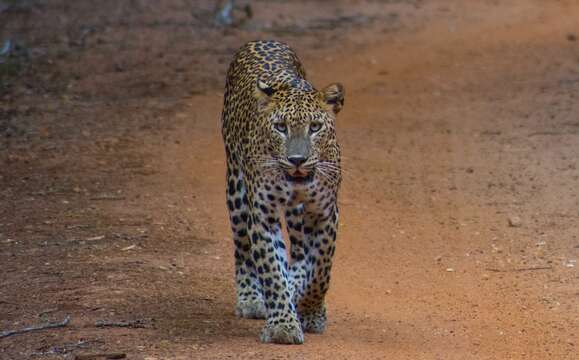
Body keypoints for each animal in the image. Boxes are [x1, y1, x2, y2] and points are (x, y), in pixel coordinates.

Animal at [220, 38, 342, 344]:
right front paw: (282, 326)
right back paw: (251, 299)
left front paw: (311, 312)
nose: (297, 159)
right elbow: (272, 271)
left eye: (315, 127)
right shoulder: (263, 215)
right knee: (243, 249)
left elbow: (320, 268)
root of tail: (263, 40)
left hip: (298, 215)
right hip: (236, 190)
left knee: (299, 250)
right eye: (280, 127)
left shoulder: (325, 212)